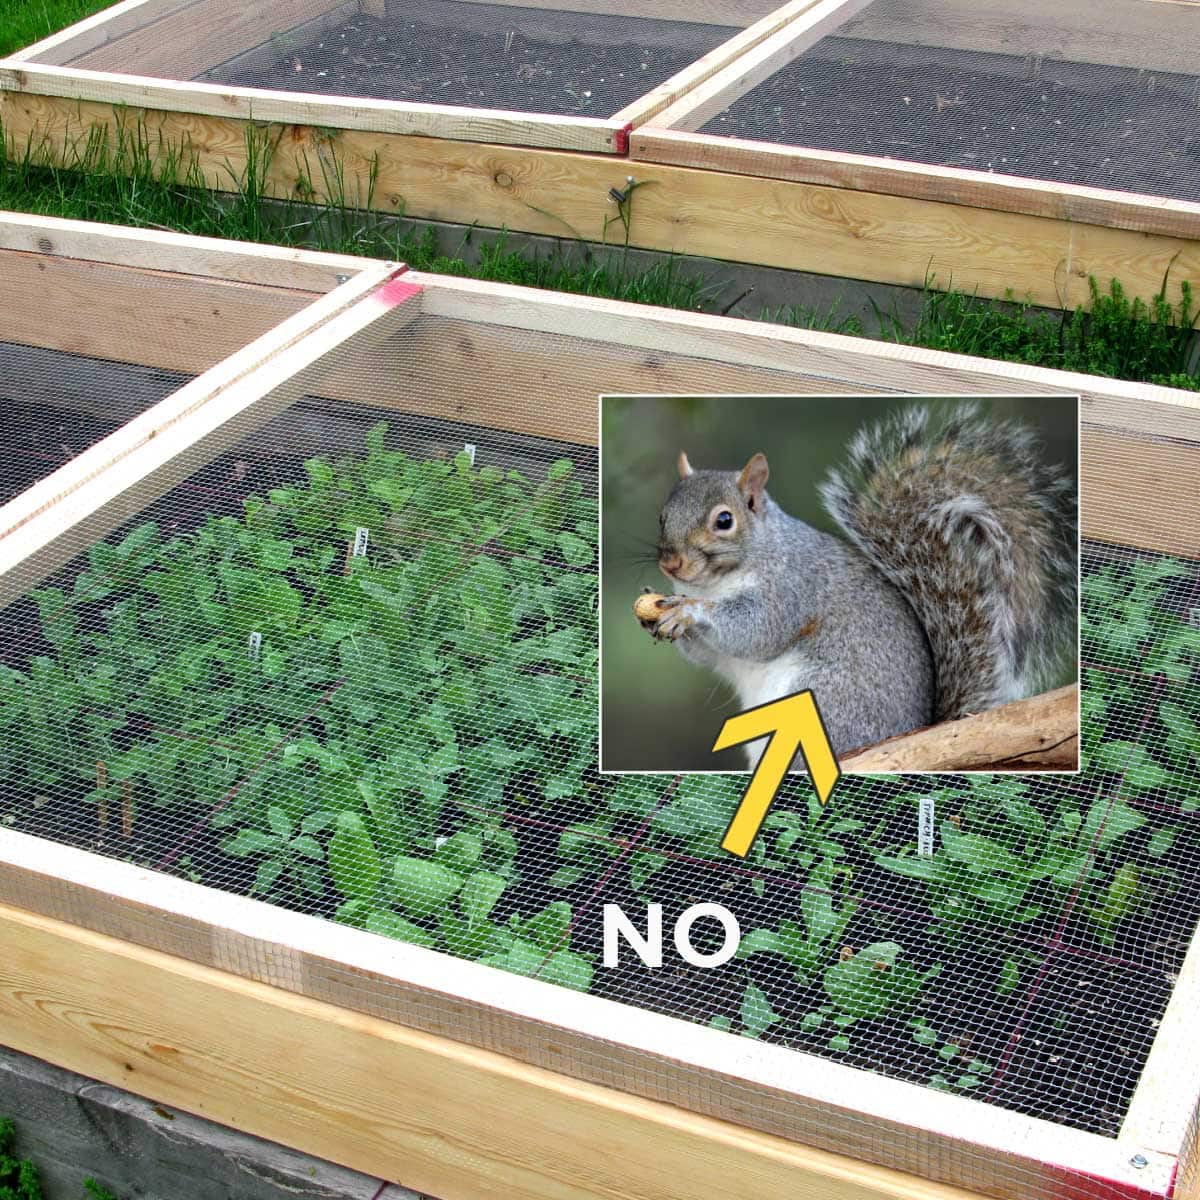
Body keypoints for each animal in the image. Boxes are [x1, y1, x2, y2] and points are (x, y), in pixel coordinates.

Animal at [634, 402, 1077, 761]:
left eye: (724, 520)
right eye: (662, 516)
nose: (671, 563)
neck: (715, 582)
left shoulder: (793, 587)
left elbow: (759, 631)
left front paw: (692, 613)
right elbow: (708, 656)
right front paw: (659, 614)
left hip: (823, 702)